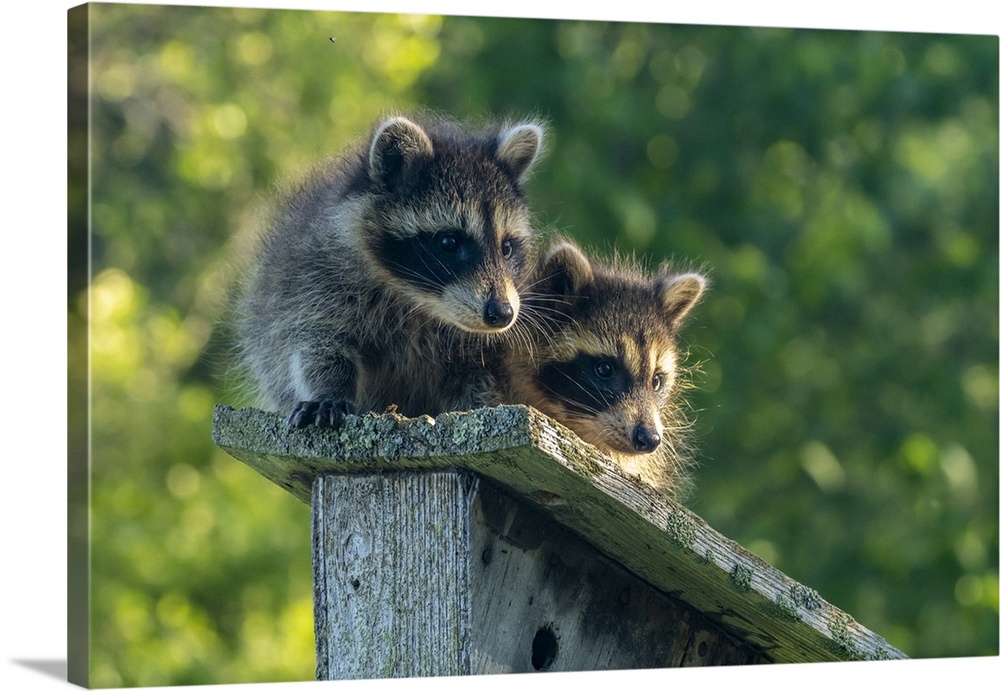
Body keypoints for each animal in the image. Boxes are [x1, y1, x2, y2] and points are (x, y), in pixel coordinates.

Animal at [236, 114, 546, 427]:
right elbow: (319, 344)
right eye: (449, 242)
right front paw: (329, 390)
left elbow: (482, 377)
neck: (419, 302)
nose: (503, 313)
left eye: (506, 248)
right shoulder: (315, 279)